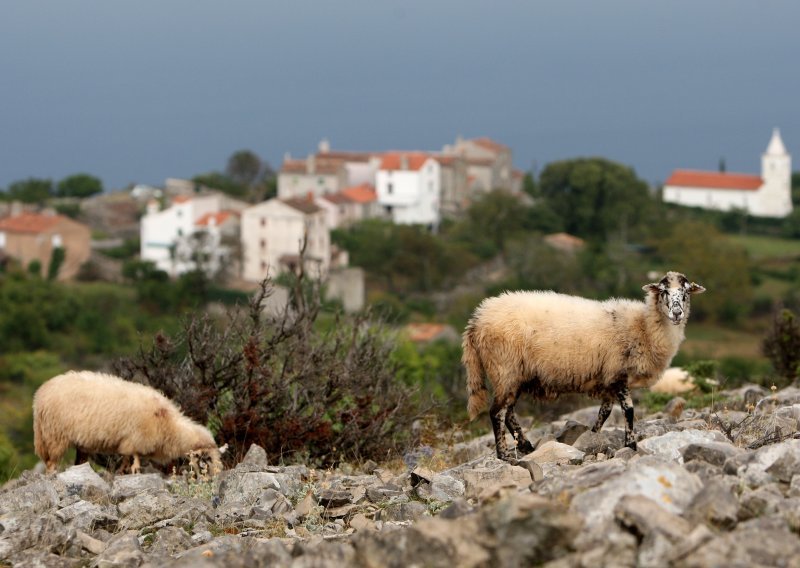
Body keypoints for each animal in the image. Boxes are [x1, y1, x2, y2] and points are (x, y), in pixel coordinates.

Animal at [32, 370, 223, 472]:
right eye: (207, 458)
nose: (216, 477)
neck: (169, 425)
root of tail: (40, 395)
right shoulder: (137, 439)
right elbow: (135, 461)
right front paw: (134, 471)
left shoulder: (127, 443)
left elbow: (125, 459)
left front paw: (122, 471)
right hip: (54, 435)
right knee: (51, 463)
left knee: (78, 462)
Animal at [462, 270, 708, 462]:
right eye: (664, 291)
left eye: (686, 293)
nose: (677, 313)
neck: (643, 327)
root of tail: (476, 320)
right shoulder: (618, 372)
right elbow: (628, 410)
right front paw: (630, 444)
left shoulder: (608, 379)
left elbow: (604, 412)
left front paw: (593, 435)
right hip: (504, 368)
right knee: (497, 413)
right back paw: (503, 454)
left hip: (514, 375)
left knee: (509, 413)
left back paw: (525, 446)